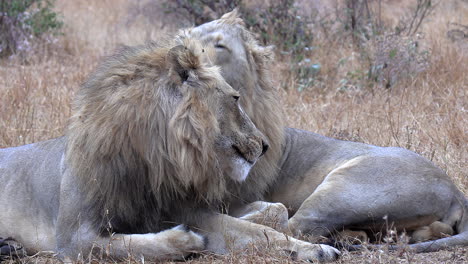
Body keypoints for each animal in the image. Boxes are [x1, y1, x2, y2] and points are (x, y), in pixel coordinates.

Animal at [0, 34, 340, 260]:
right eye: (235, 98)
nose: (266, 145)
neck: (149, 156)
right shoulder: (71, 237)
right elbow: (123, 245)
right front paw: (188, 241)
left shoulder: (179, 207)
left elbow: (261, 229)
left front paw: (317, 249)